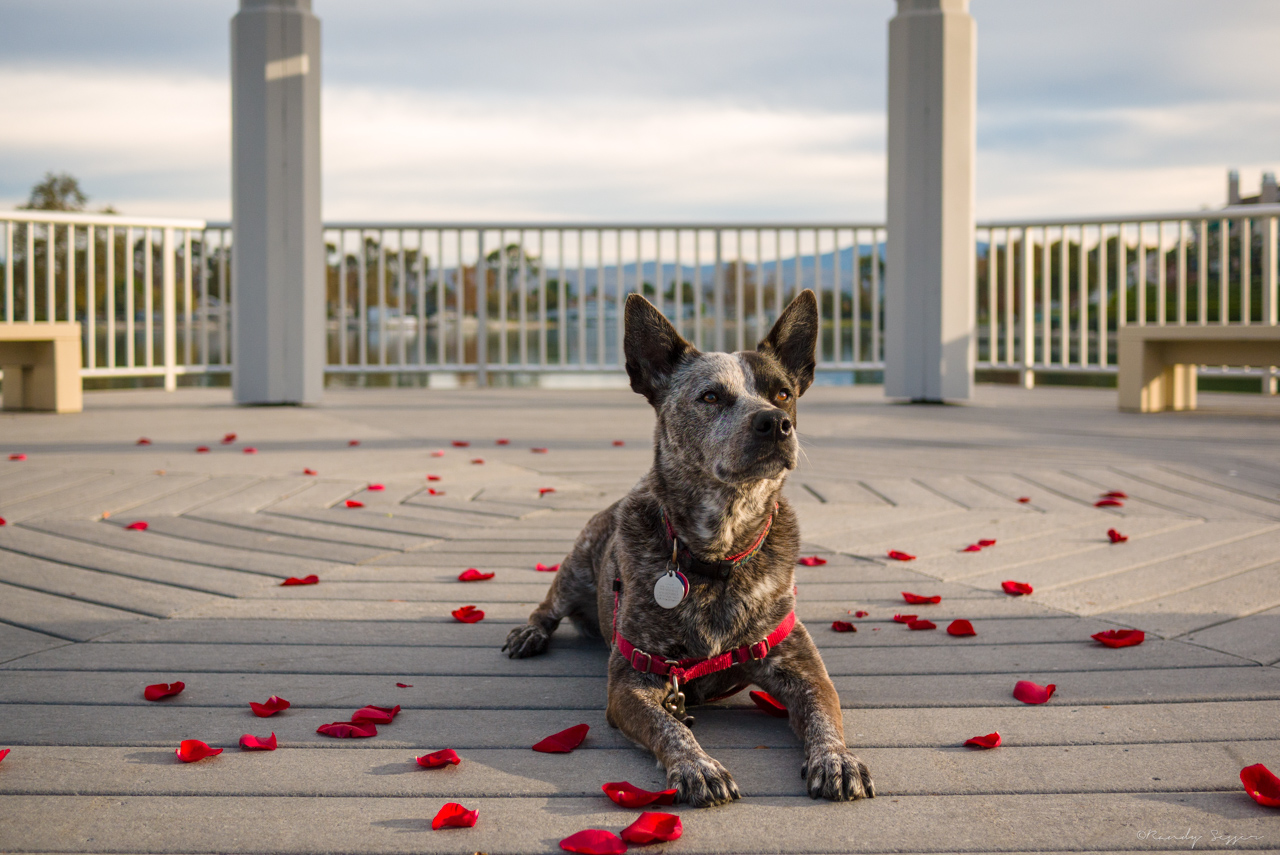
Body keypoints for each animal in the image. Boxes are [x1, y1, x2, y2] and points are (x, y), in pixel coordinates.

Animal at [504, 290, 875, 803]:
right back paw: (529, 633)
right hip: (576, 565)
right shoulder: (632, 682)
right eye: (711, 396)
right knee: (548, 607)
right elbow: (672, 728)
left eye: (783, 393)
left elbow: (824, 716)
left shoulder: (803, 670)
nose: (775, 422)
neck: (719, 552)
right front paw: (698, 766)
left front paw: (837, 759)